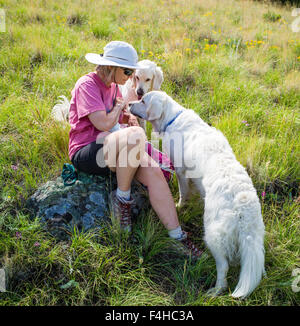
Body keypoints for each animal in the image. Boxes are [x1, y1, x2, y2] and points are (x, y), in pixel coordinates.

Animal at [130, 91, 266, 298]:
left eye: (143, 100)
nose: (129, 103)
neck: (172, 118)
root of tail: (244, 208)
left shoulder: (179, 169)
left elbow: (183, 192)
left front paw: (180, 206)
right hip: (253, 240)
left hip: (212, 234)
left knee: (223, 267)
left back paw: (215, 290)